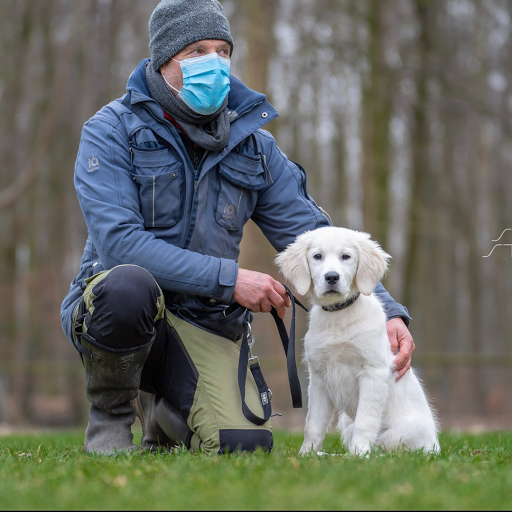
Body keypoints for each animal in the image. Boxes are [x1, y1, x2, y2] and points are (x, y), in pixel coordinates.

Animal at [276, 226, 440, 454]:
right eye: (317, 256)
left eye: (346, 256)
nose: (332, 277)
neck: (338, 315)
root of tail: (435, 446)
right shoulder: (318, 378)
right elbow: (313, 424)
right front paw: (307, 454)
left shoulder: (373, 373)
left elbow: (365, 420)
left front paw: (359, 454)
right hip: (346, 421)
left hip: (407, 430)